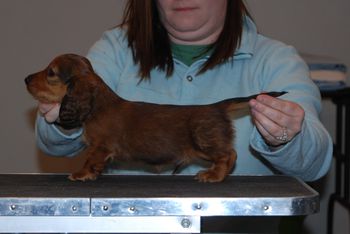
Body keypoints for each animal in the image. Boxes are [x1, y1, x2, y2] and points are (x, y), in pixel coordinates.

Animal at [26, 54, 286, 182]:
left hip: (205, 142)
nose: (26, 79)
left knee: (228, 155)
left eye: (51, 73)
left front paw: (82, 174)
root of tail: (217, 107)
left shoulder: (101, 146)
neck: (97, 105)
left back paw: (213, 175)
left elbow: (91, 159)